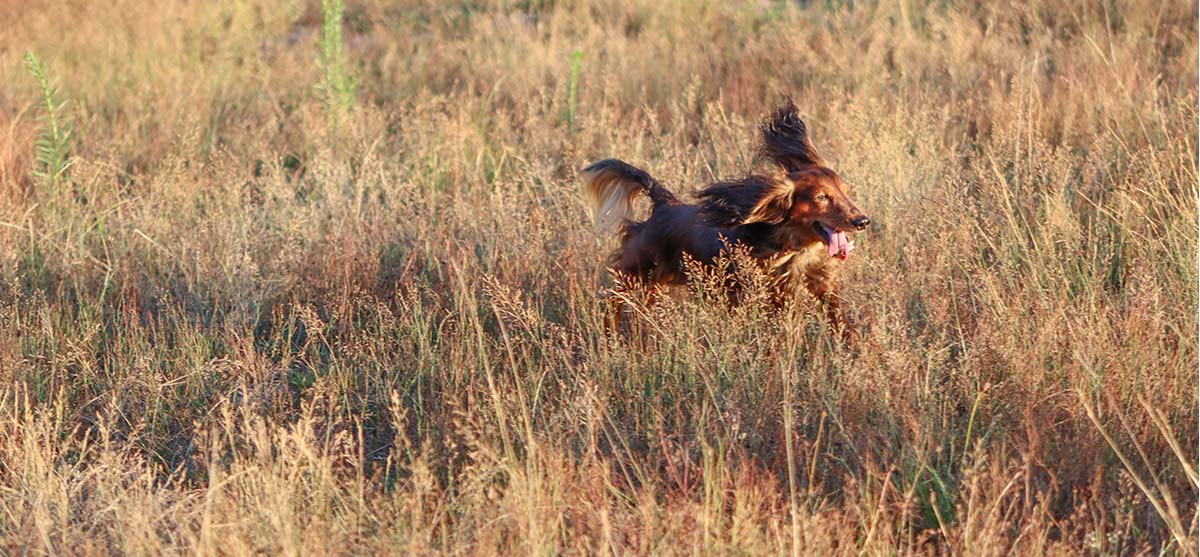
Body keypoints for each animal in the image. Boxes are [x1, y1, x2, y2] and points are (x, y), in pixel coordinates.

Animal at [581, 101, 871, 334]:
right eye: (822, 197)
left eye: (846, 192)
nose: (862, 221)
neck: (794, 247)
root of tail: (664, 204)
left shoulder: (820, 284)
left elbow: (840, 320)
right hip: (636, 269)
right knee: (614, 301)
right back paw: (609, 335)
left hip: (658, 279)